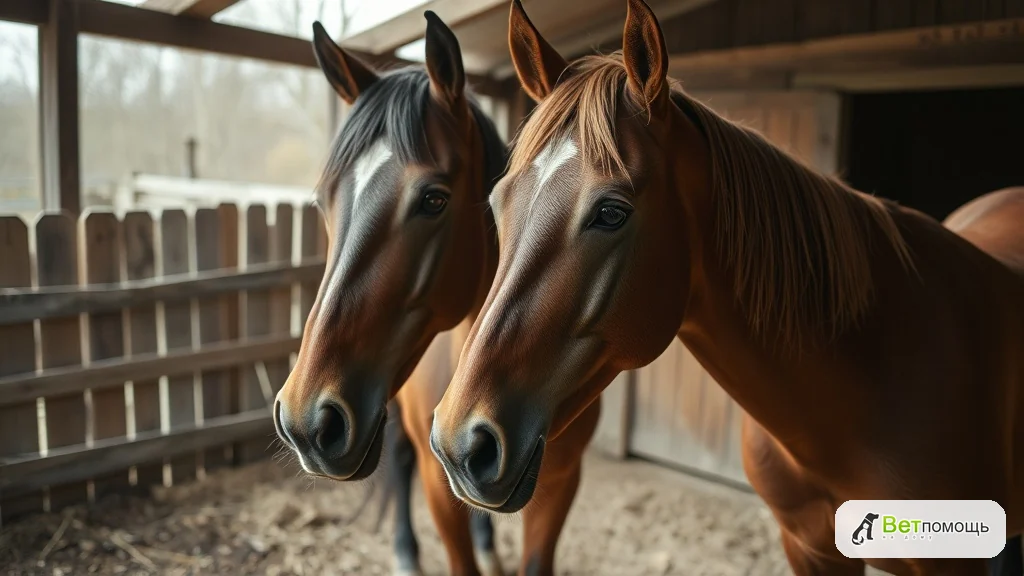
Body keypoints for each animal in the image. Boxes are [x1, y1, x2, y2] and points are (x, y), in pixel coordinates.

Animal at [273, 13, 598, 576]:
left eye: (433, 199)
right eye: (323, 203)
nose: (304, 421)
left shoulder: (562, 484)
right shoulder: (434, 476)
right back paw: (407, 551)